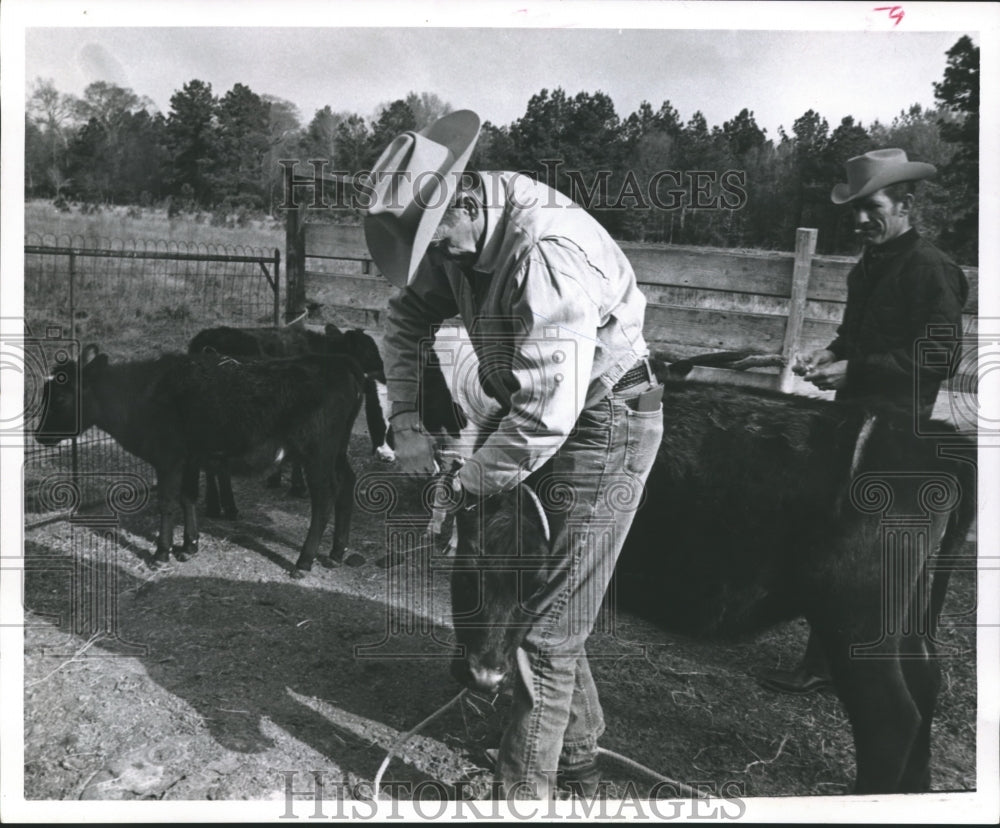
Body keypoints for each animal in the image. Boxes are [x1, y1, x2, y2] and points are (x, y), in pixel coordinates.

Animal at [35, 342, 366, 576]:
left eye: (61, 397)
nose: (38, 436)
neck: (140, 395)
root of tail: (338, 362)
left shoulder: (168, 458)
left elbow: (168, 502)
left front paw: (162, 553)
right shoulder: (190, 458)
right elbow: (188, 497)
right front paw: (189, 545)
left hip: (317, 452)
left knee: (324, 496)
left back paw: (304, 561)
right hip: (336, 450)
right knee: (346, 483)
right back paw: (336, 553)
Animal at [189, 324, 392, 516]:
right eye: (368, 351)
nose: (383, 371)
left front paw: (275, 479)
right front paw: (297, 486)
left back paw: (214, 506)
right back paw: (228, 507)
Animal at [452, 372, 976, 792]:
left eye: (535, 580)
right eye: (471, 565)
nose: (484, 675)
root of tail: (924, 440)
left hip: (855, 624)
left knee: (892, 717)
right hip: (903, 614)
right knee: (926, 680)